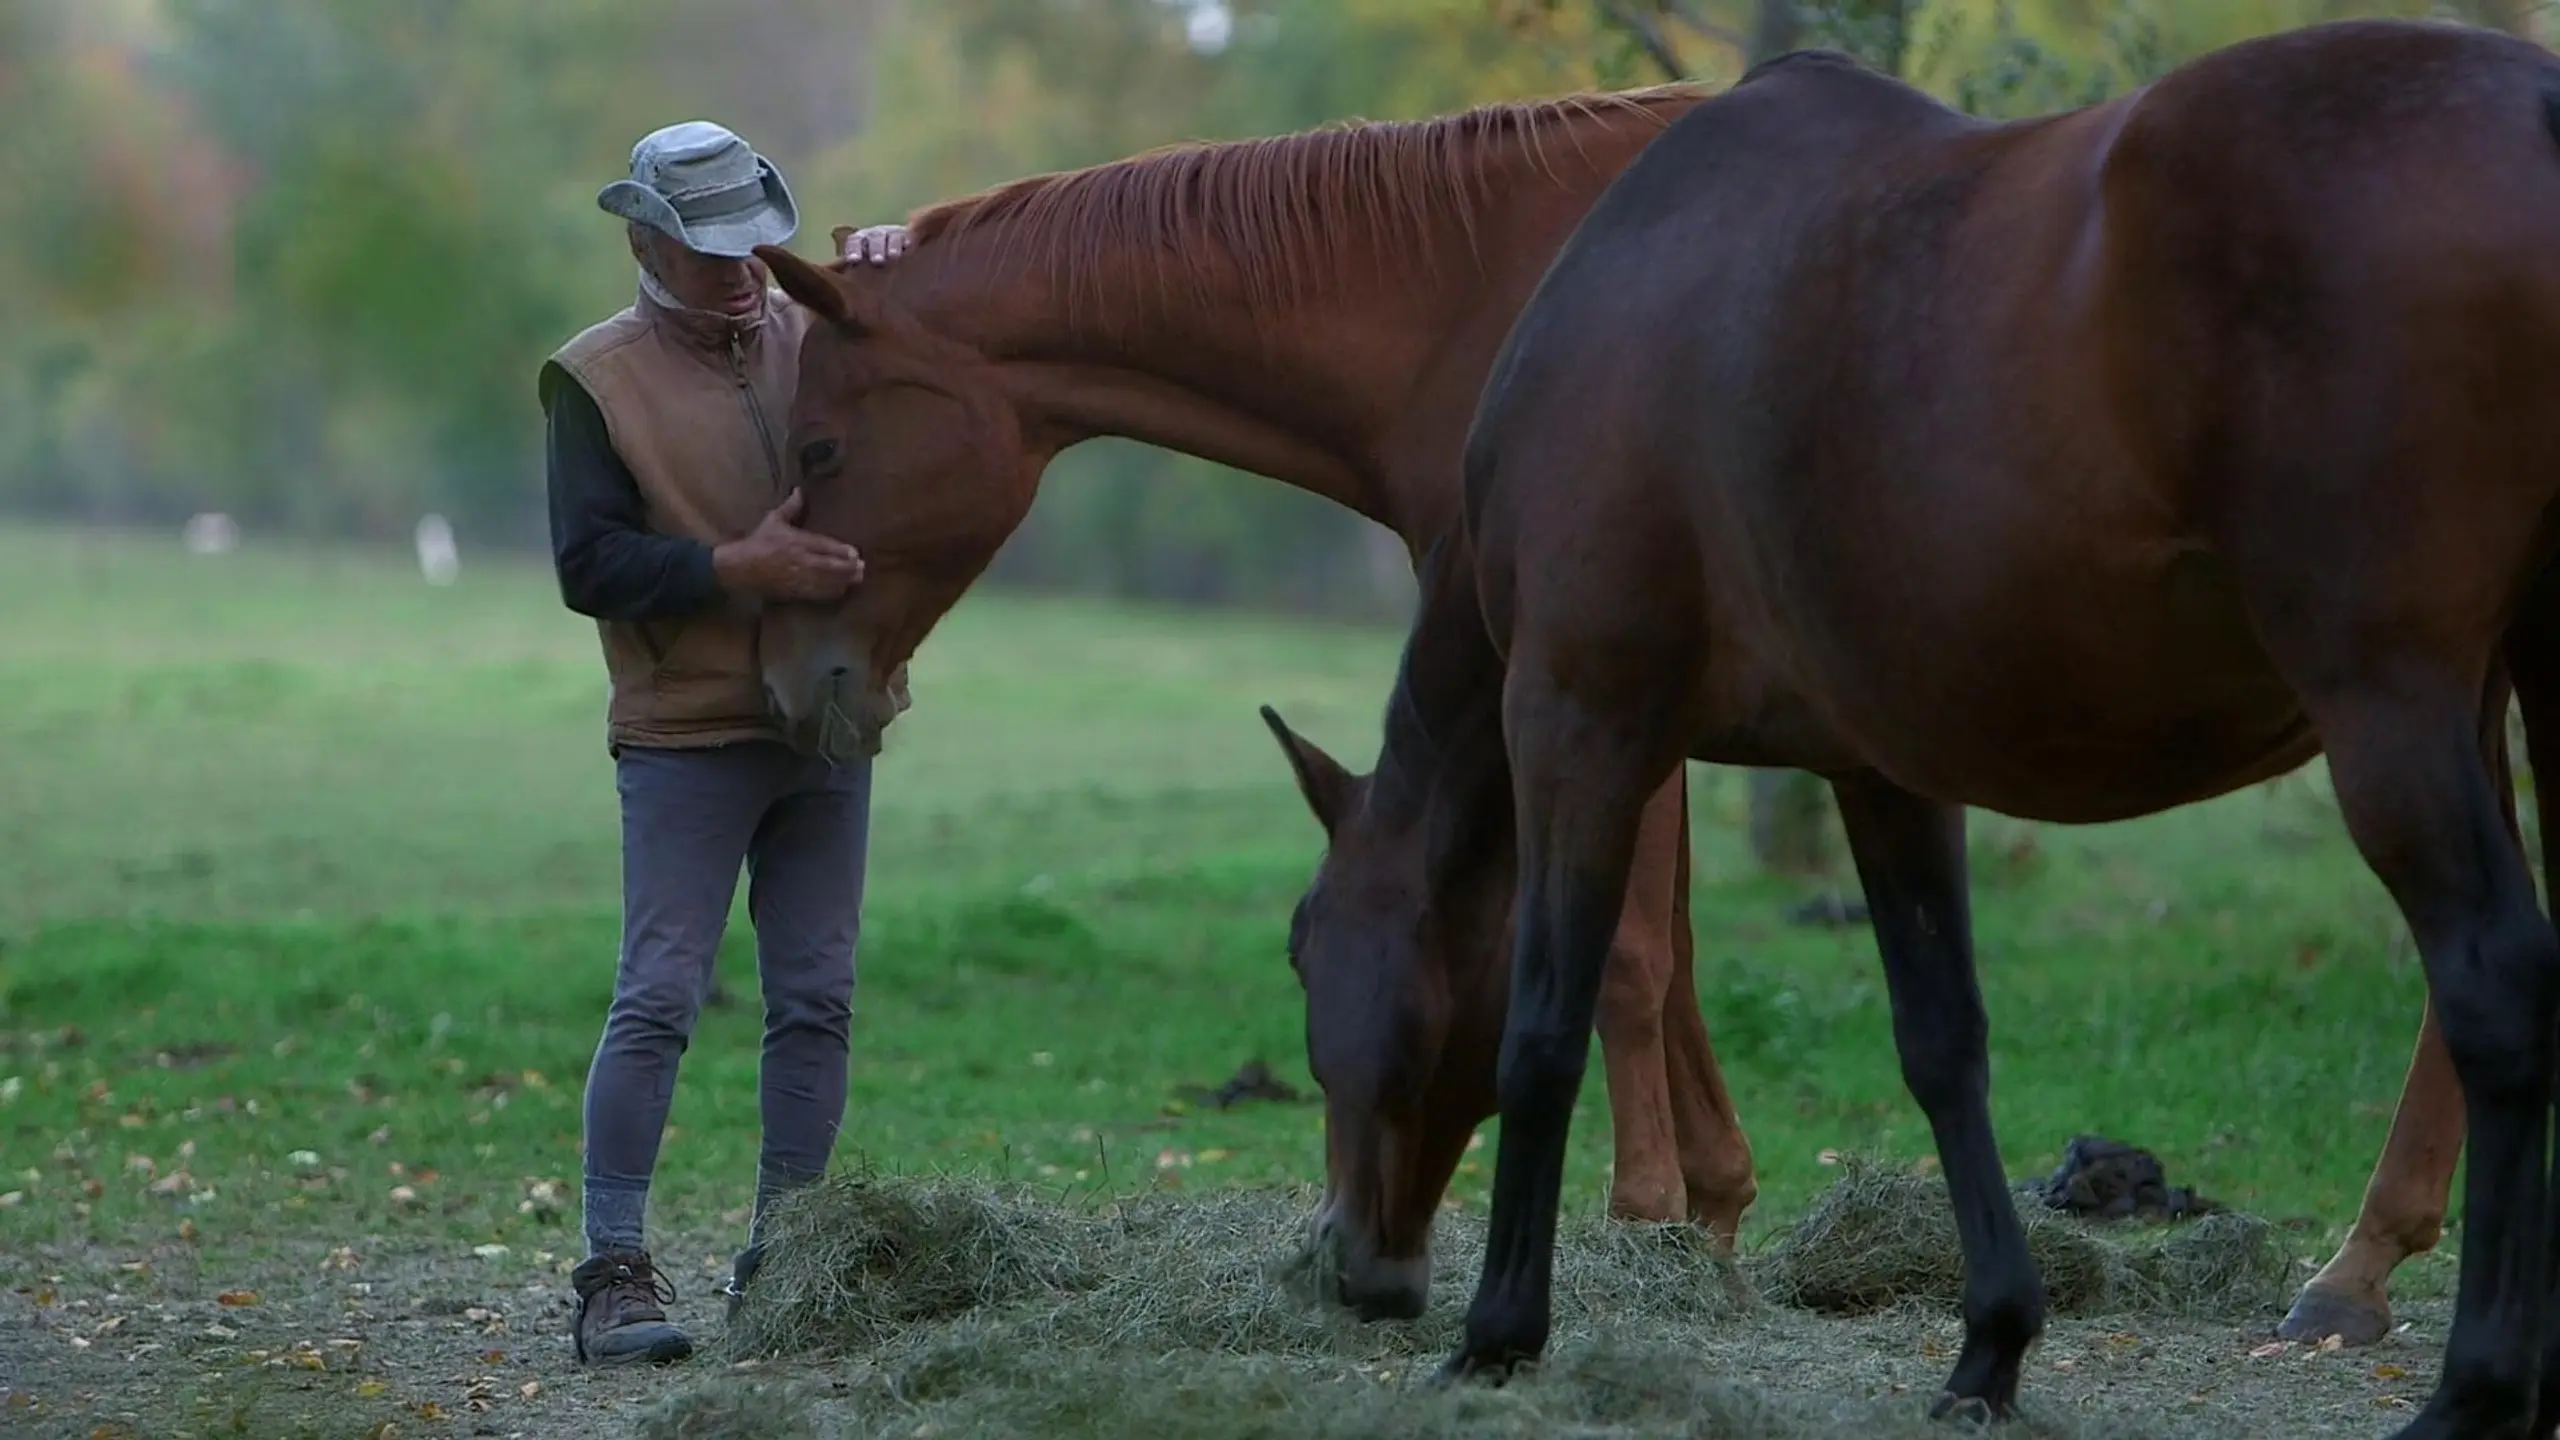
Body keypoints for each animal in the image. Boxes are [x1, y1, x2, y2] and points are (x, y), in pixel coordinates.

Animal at [747, 64, 2498, 1342]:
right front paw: (1711, 1209)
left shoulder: (1588, 667)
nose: (798, 685)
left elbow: (1630, 956)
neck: (1475, 284)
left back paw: (2363, 1264)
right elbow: (1669, 947)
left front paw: (1651, 1221)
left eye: (820, 446)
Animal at [1341, 16, 2560, 1424]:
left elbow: (1543, 1026)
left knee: (2496, 992)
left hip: (2393, 714)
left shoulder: (1573, 719)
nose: (1354, 1272)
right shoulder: (1882, 771)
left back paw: (2472, 1387)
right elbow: (1941, 1044)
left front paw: (1498, 1332)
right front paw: (1992, 1344)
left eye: (1317, 970)